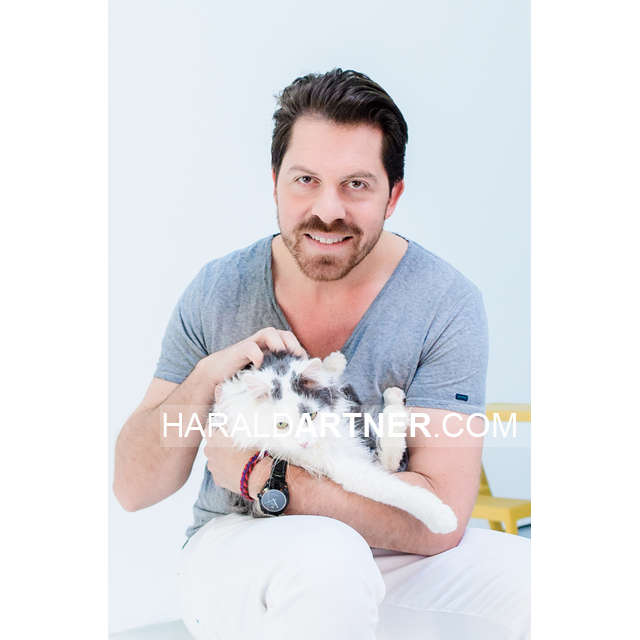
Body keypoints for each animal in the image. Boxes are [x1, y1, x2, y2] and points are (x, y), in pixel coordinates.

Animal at [212, 350, 458, 534]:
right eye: (281, 424)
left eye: (312, 415)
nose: (304, 443)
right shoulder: (342, 468)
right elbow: (392, 488)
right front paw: (443, 518)